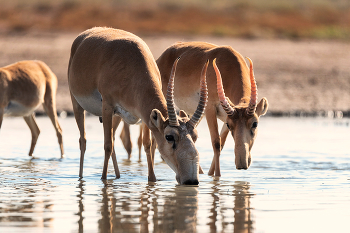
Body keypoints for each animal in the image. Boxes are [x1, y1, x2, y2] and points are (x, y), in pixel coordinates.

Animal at [67, 26, 208, 184]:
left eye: (195, 136)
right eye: (169, 137)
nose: (191, 180)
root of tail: (83, 36)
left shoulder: (144, 116)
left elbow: (147, 144)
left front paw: (152, 179)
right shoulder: (108, 106)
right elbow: (107, 145)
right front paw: (104, 180)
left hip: (117, 116)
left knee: (113, 138)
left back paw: (118, 176)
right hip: (78, 105)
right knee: (84, 140)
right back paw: (81, 177)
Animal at [155, 41, 268, 177]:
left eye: (255, 123)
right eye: (230, 125)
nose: (241, 163)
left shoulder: (225, 116)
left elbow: (221, 143)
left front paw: (209, 174)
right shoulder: (210, 110)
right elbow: (216, 143)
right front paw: (217, 176)